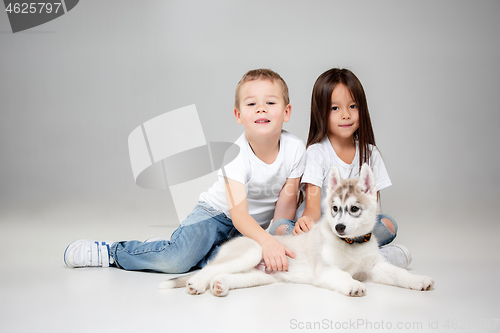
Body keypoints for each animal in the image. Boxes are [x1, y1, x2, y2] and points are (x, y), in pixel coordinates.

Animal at [160, 163, 434, 296]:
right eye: (335, 208)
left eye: (354, 208)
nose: (339, 227)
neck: (352, 245)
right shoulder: (326, 270)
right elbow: (344, 276)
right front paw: (353, 286)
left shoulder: (375, 267)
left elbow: (400, 274)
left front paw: (420, 281)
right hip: (252, 252)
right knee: (209, 269)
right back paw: (197, 284)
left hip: (260, 275)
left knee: (225, 275)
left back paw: (220, 286)